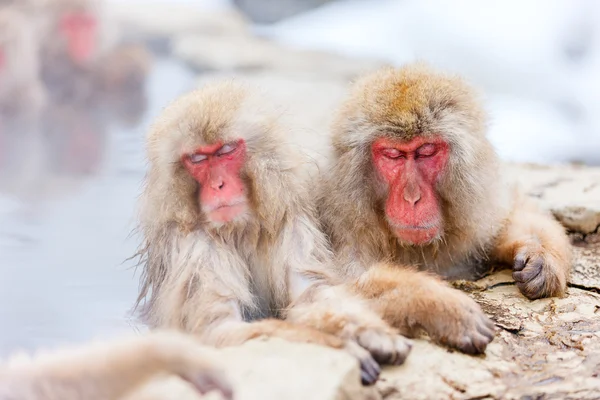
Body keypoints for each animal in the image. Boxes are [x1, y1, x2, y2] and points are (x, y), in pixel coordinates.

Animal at [131, 81, 412, 384]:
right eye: (197, 159)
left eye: (226, 150)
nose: (218, 186)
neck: (237, 229)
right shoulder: (194, 247)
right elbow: (218, 332)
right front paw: (344, 348)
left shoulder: (289, 218)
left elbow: (312, 293)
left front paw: (369, 332)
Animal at [318, 63, 572, 354]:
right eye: (393, 155)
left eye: (426, 151)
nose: (412, 197)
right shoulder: (338, 224)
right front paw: (437, 304)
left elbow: (510, 213)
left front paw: (540, 255)